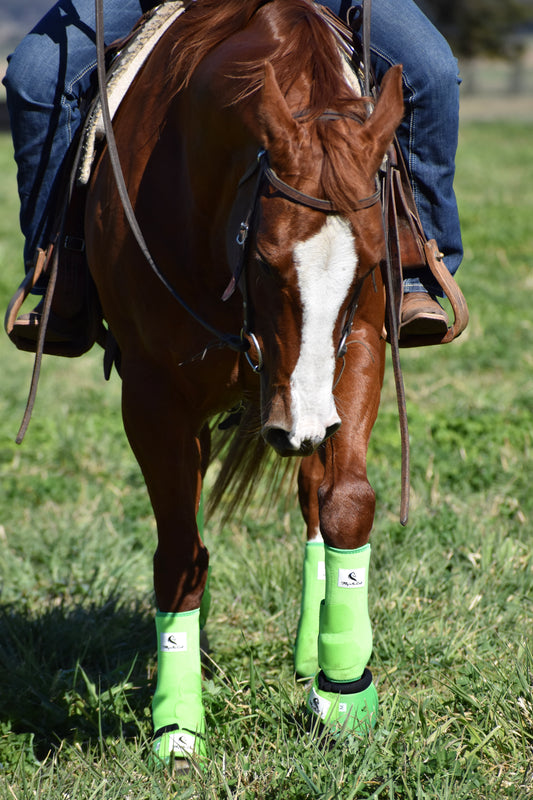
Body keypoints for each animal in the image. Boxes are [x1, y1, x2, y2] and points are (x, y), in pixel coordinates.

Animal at [84, 0, 403, 762]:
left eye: (371, 258)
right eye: (262, 257)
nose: (302, 426)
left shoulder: (357, 348)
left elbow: (347, 501)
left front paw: (344, 688)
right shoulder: (153, 396)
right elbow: (180, 554)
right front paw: (177, 724)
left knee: (314, 494)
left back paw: (311, 651)